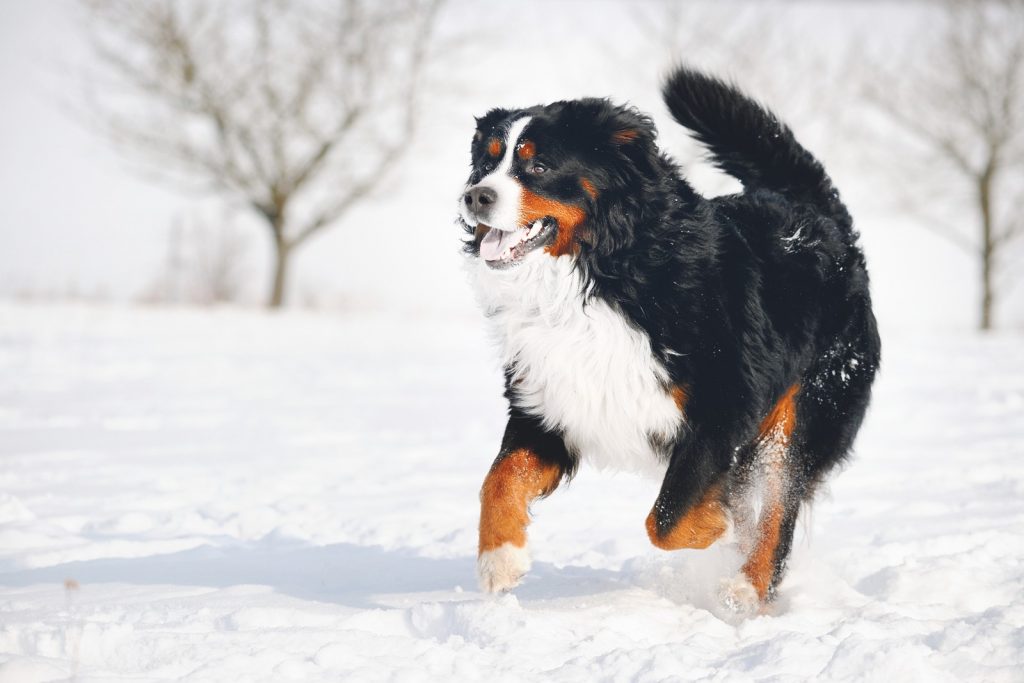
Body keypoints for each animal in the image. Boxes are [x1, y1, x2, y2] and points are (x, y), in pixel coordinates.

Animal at [456, 66, 880, 618]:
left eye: (539, 164)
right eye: (486, 161)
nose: (474, 196)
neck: (601, 275)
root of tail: (823, 221)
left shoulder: (720, 408)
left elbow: (667, 519)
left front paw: (717, 525)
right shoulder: (547, 402)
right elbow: (499, 479)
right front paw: (500, 558)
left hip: (809, 408)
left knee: (777, 506)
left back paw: (746, 589)